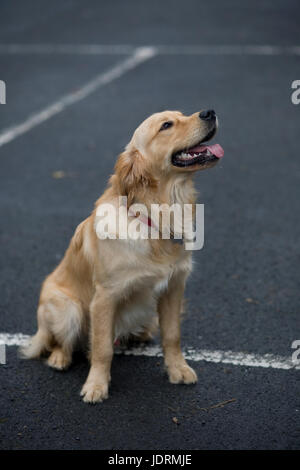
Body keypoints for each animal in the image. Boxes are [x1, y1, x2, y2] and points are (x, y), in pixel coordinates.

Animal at [20, 108, 223, 402]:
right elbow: (103, 348)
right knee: (60, 341)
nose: (210, 112)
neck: (155, 217)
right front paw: (96, 386)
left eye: (182, 114)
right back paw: (59, 359)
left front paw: (178, 370)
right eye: (166, 125)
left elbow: (172, 335)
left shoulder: (174, 287)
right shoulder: (105, 297)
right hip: (67, 309)